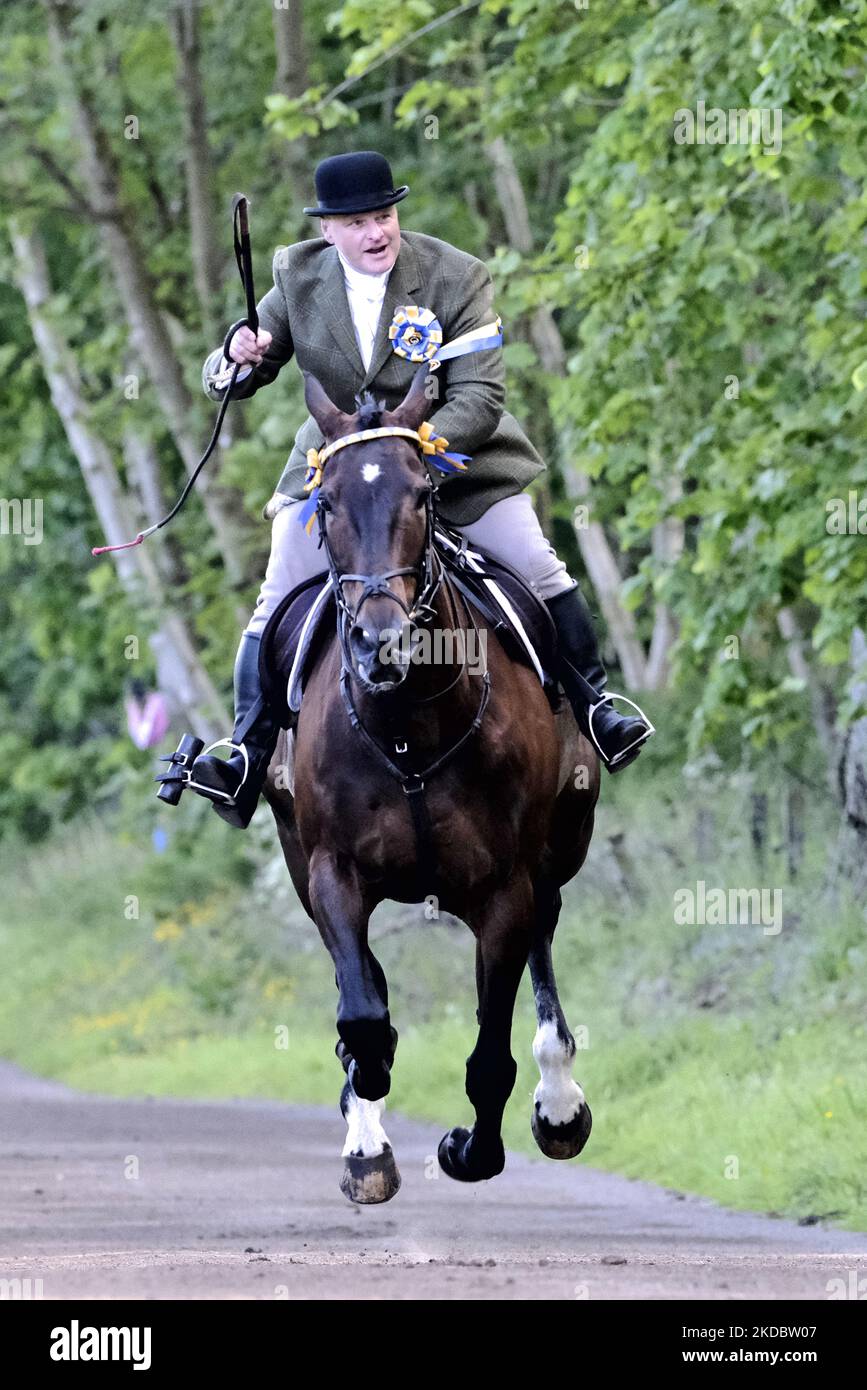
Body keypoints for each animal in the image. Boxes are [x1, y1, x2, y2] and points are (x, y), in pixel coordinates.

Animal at [261, 369, 600, 1206]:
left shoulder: (503, 888)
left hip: (558, 847)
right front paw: (365, 1134)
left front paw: (470, 1148)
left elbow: (489, 1056)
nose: (380, 643)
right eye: (327, 503)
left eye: (422, 493)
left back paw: (558, 1100)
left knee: (545, 937)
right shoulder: (330, 871)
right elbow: (362, 1014)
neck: (405, 719)